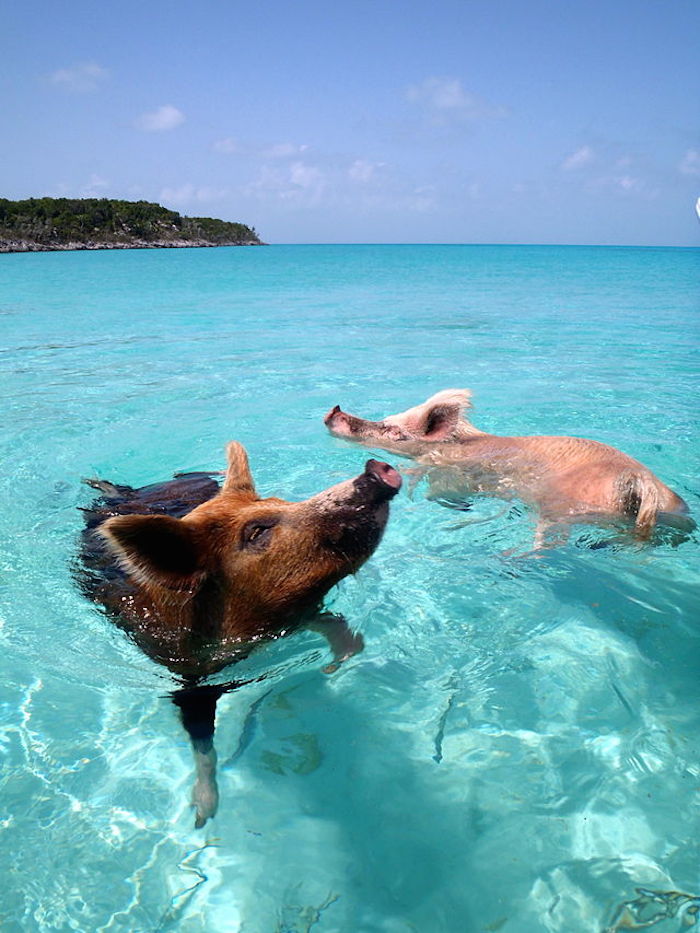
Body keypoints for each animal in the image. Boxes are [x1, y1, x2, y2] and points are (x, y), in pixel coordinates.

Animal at [78, 440, 400, 828]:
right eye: (257, 531)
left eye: (280, 501)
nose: (377, 469)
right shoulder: (188, 680)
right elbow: (202, 743)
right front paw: (203, 817)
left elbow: (333, 625)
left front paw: (336, 664)